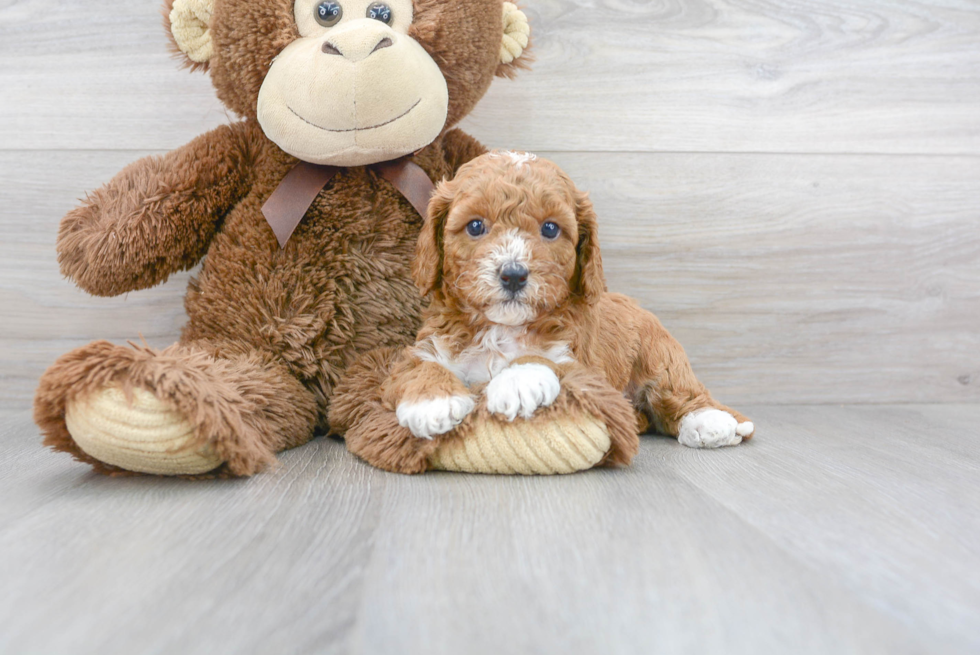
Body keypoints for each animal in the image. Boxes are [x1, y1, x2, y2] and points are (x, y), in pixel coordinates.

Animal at [382, 151, 752, 448]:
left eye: (549, 229)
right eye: (475, 226)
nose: (513, 274)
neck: (501, 328)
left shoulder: (583, 364)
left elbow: (548, 359)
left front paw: (517, 380)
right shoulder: (426, 347)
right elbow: (420, 366)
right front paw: (432, 401)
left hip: (660, 355)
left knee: (681, 392)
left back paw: (712, 422)